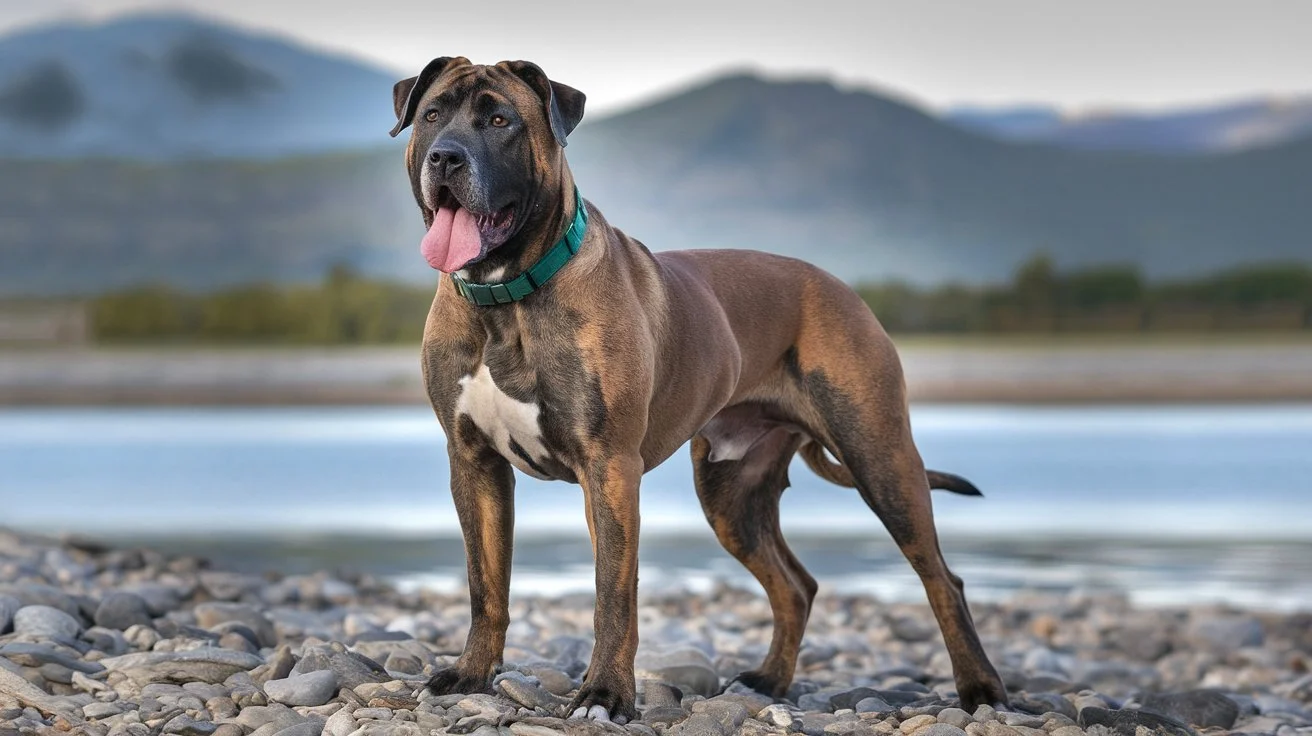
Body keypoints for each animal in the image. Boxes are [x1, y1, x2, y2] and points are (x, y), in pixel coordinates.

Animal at [385, 57, 1002, 724]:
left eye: (500, 120)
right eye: (433, 115)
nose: (445, 157)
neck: (506, 298)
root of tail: (840, 286)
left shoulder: (609, 467)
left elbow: (613, 593)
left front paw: (605, 694)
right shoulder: (474, 463)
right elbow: (485, 584)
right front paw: (471, 673)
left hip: (881, 459)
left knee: (941, 580)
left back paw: (981, 688)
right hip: (732, 497)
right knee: (796, 585)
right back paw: (770, 680)